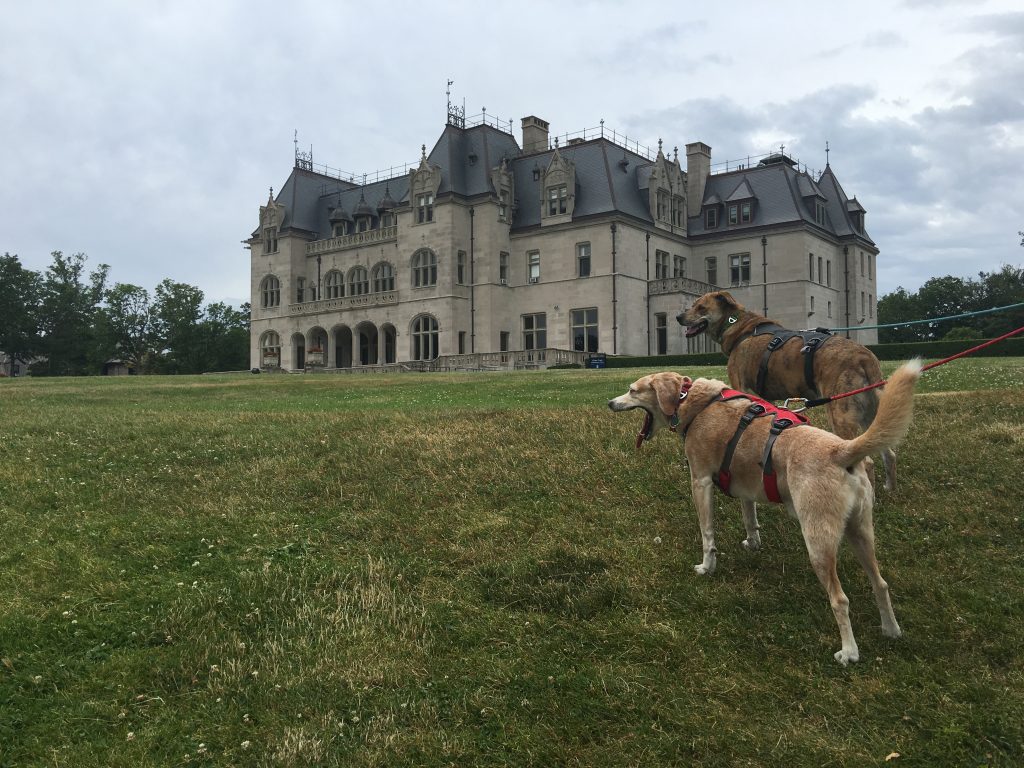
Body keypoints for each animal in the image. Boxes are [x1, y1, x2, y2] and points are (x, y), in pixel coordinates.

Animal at [606, 362, 921, 667]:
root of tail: (841, 449)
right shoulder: (745, 483)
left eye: (632, 390)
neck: (691, 401)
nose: (609, 402)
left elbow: (707, 533)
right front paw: (753, 543)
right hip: (861, 532)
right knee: (880, 584)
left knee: (840, 600)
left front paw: (707, 567)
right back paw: (891, 630)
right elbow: (750, 517)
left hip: (818, 542)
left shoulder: (700, 481)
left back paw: (849, 652)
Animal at [675, 290, 892, 489]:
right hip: (871, 412)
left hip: (840, 414)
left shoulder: (741, 386)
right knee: (888, 452)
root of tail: (864, 357)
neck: (737, 324)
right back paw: (889, 488)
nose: (678, 317)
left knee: (867, 462)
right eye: (693, 305)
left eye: (701, 307)